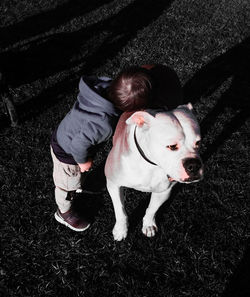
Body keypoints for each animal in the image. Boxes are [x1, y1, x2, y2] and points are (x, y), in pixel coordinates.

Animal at [104, 103, 203, 239]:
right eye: (172, 146)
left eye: (198, 142)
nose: (194, 165)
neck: (152, 164)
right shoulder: (113, 183)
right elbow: (120, 209)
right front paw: (120, 229)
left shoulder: (164, 191)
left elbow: (152, 209)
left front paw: (149, 225)